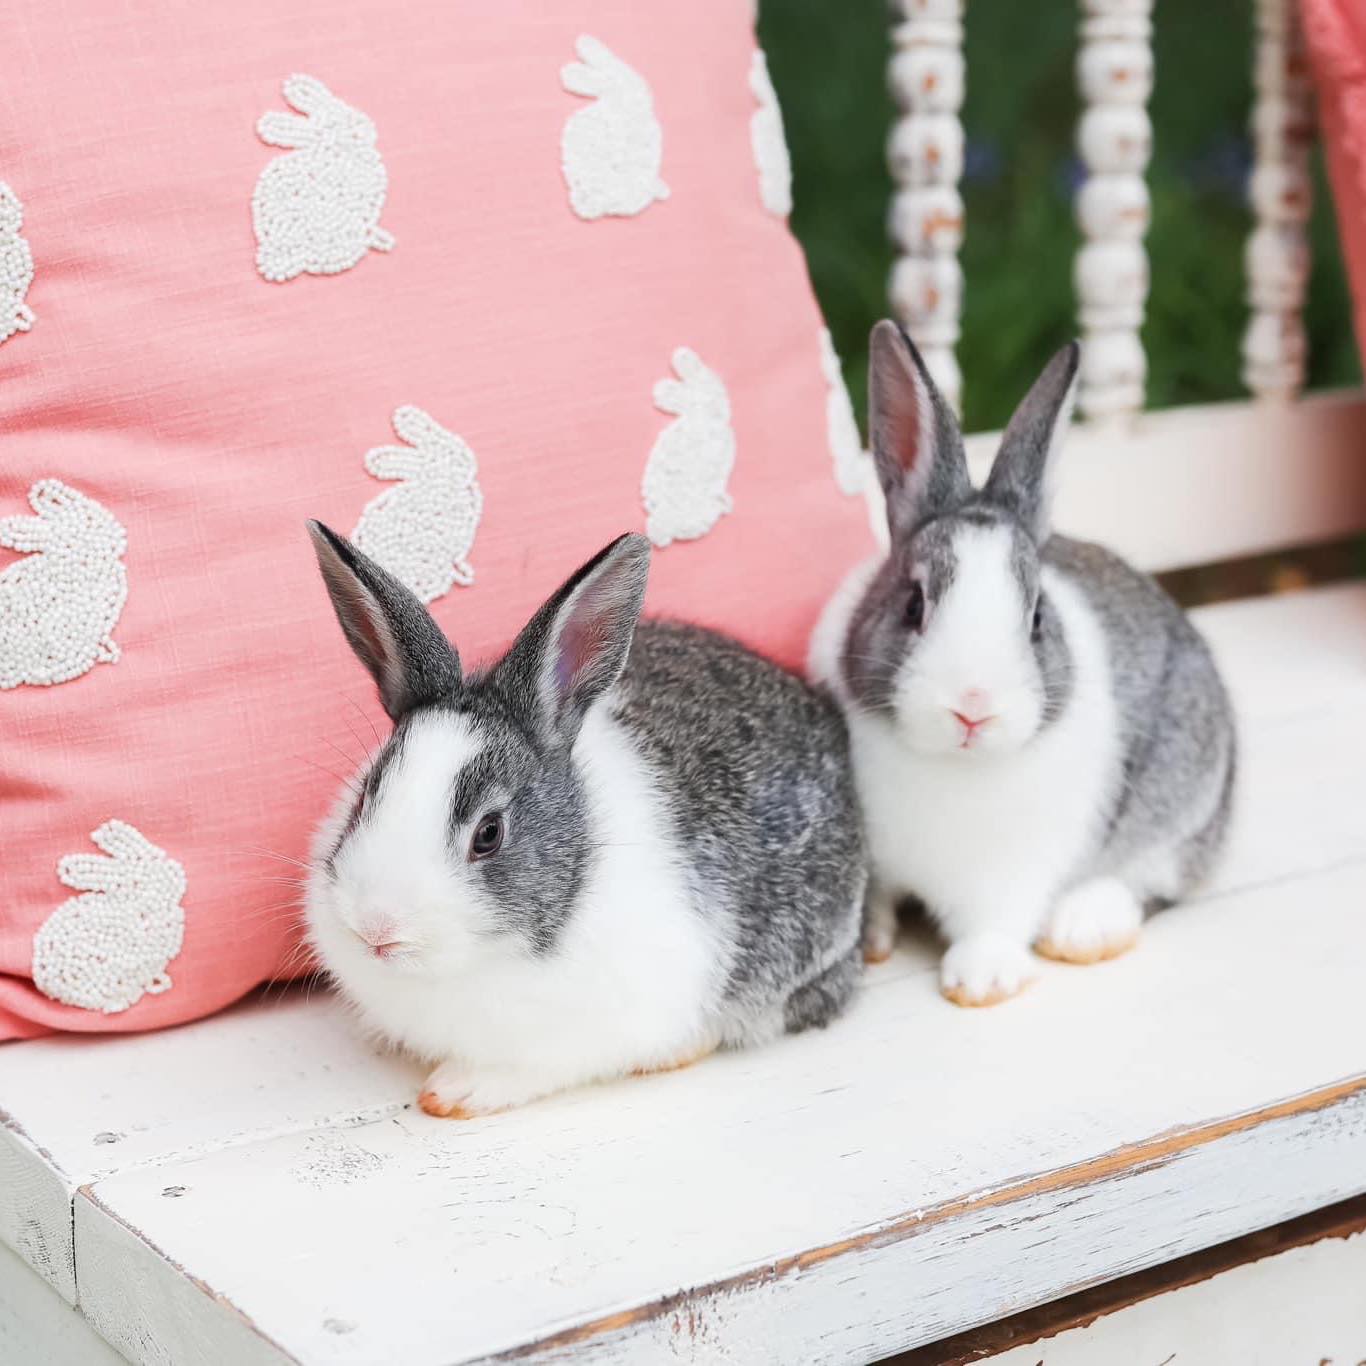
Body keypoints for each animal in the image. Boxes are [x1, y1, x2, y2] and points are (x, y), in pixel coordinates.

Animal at [560, 35, 670, 220]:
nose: (581, 203)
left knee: (606, 76)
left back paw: (574, 72)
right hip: (624, 86)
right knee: (610, 71)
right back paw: (581, 55)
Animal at [810, 321, 1236, 1007]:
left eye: (1036, 618)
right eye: (913, 604)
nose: (972, 707)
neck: (949, 765)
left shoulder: (1014, 873)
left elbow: (996, 921)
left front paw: (980, 980)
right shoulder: (878, 860)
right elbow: (875, 900)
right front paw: (873, 944)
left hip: (1187, 793)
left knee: (1152, 875)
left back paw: (1083, 927)